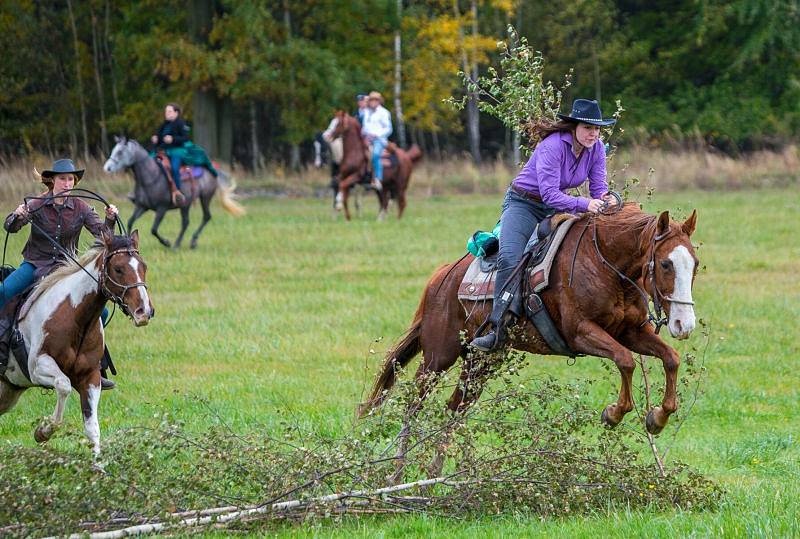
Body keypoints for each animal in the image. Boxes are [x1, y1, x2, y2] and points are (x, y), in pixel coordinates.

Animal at [0, 229, 153, 456]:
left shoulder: (91, 377)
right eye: (118, 269)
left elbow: (92, 428)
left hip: (8, 391)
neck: (75, 318)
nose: (144, 312)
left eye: (144, 267)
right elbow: (63, 386)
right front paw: (43, 431)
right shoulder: (38, 366)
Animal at [104, 137, 245, 251]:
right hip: (186, 205)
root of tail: (213, 170)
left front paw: (166, 242)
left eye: (120, 152)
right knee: (186, 222)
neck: (151, 177)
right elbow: (130, 222)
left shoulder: (162, 208)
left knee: (206, 217)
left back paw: (187, 243)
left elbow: (154, 229)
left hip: (205, 197)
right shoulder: (142, 207)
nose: (107, 168)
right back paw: (181, 243)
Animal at [360, 205, 696, 484]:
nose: (685, 324)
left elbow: (671, 358)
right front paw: (613, 413)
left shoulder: (631, 332)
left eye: (695, 264)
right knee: (413, 405)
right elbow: (625, 360)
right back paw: (397, 474)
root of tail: (441, 276)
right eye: (665, 264)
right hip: (438, 356)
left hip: (481, 361)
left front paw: (658, 417)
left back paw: (442, 475)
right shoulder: (580, 332)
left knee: (455, 408)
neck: (607, 264)